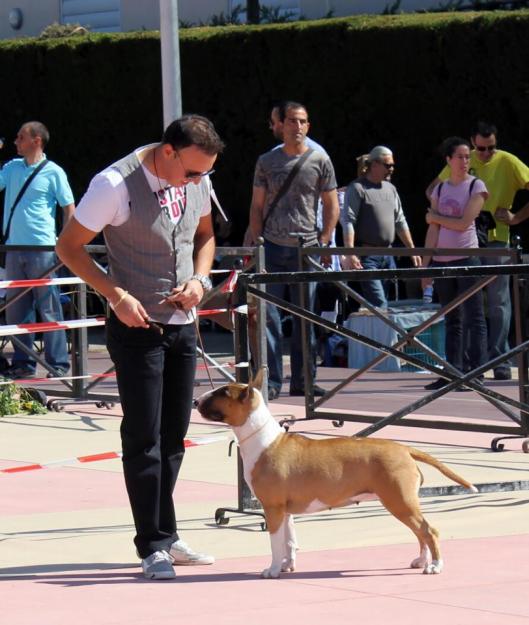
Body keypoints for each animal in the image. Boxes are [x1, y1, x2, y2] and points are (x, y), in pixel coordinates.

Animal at [196, 368, 476, 576]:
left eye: (222, 392)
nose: (196, 401)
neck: (262, 439)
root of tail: (405, 449)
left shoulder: (272, 507)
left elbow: (275, 543)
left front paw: (272, 570)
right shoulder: (285, 510)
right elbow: (289, 541)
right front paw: (288, 566)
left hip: (400, 501)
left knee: (429, 531)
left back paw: (435, 566)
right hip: (403, 503)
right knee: (420, 532)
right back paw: (421, 561)